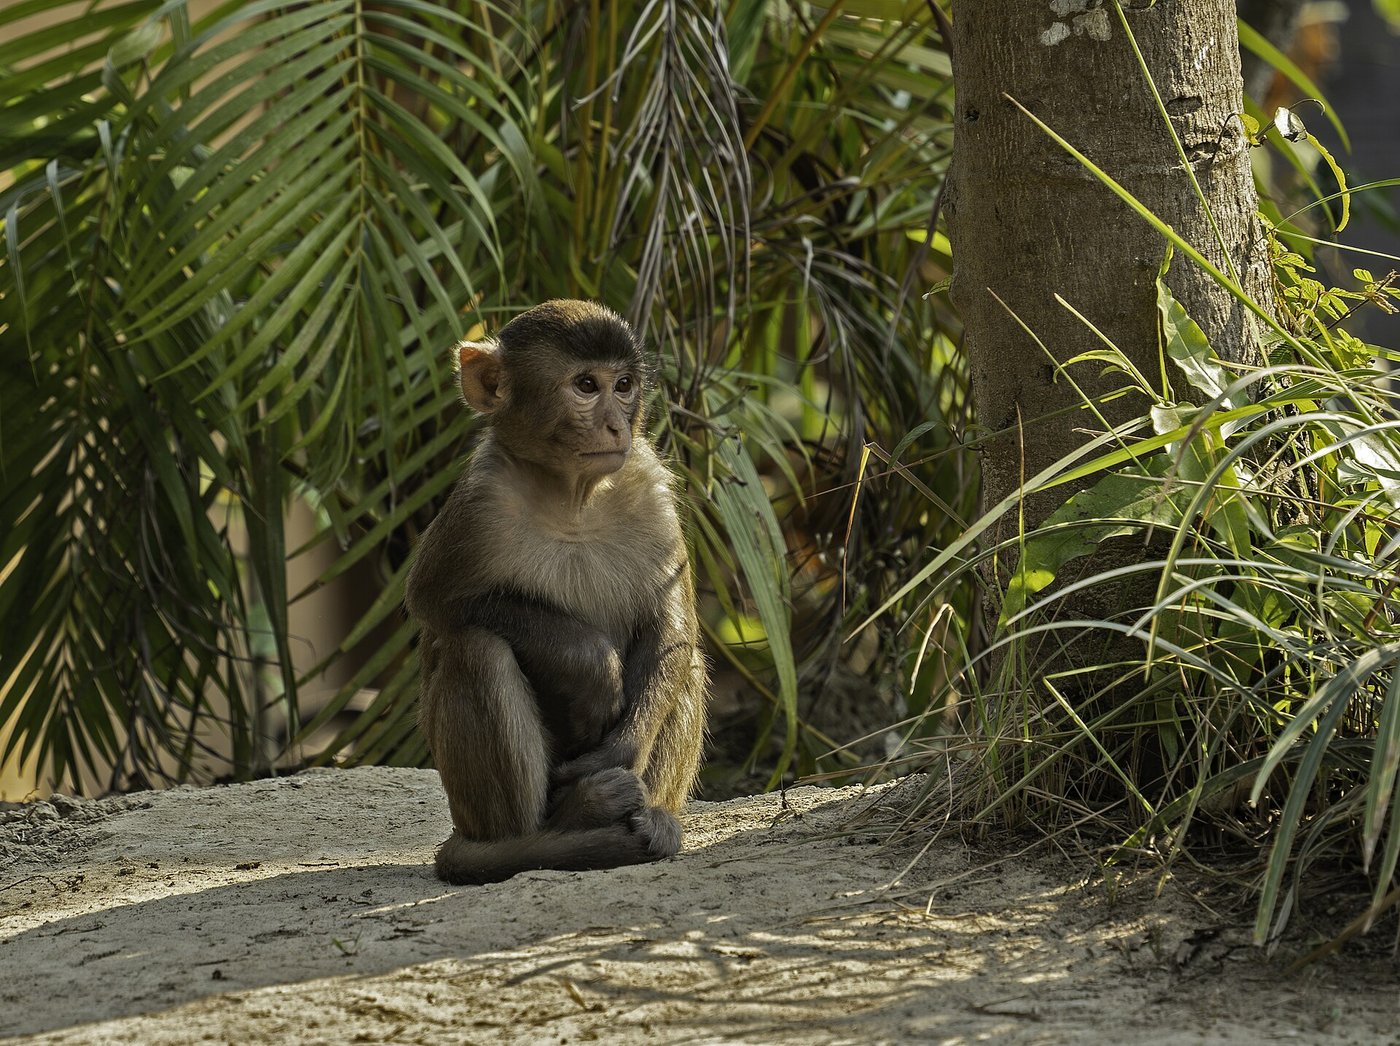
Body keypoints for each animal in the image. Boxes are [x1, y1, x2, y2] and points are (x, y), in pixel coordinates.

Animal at [404, 299, 708, 885]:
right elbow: (436, 601)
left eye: (624, 385)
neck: (572, 499)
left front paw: (622, 747)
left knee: (686, 661)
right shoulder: (479, 505)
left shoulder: (651, 487)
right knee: (476, 647)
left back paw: (648, 818)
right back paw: (554, 829)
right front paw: (587, 666)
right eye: (586, 385)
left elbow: (670, 627)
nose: (615, 424)